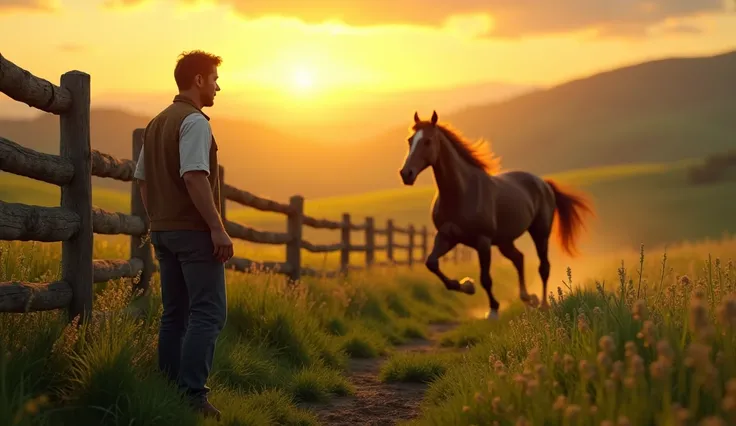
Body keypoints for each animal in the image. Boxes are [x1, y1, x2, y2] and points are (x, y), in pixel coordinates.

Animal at [400, 111, 596, 318]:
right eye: (410, 140)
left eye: (427, 141)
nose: (406, 173)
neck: (462, 192)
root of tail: (544, 184)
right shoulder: (447, 236)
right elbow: (432, 263)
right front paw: (467, 286)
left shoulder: (483, 241)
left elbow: (486, 278)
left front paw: (493, 309)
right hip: (504, 241)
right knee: (519, 259)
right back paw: (528, 299)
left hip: (540, 233)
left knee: (544, 267)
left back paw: (543, 304)